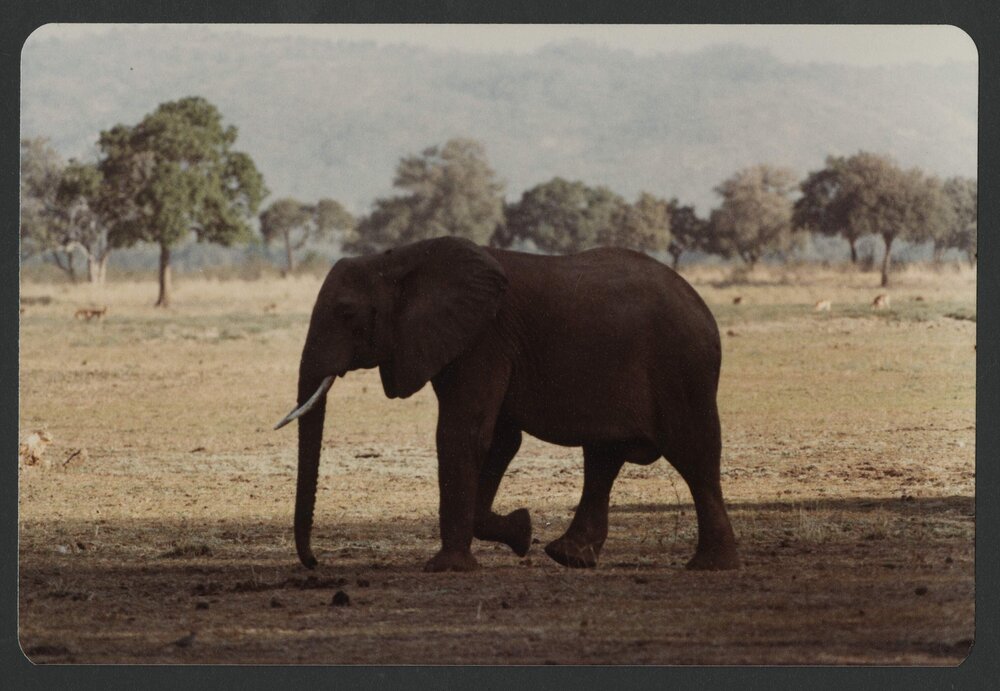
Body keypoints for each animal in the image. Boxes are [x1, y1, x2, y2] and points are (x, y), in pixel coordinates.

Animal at [275, 236, 739, 572]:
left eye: (346, 313)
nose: (314, 563)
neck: (399, 258)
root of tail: (703, 308)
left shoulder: (484, 339)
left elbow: (464, 434)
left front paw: (446, 568)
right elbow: (498, 439)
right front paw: (521, 530)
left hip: (683, 367)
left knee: (694, 455)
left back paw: (710, 566)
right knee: (604, 457)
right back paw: (568, 557)